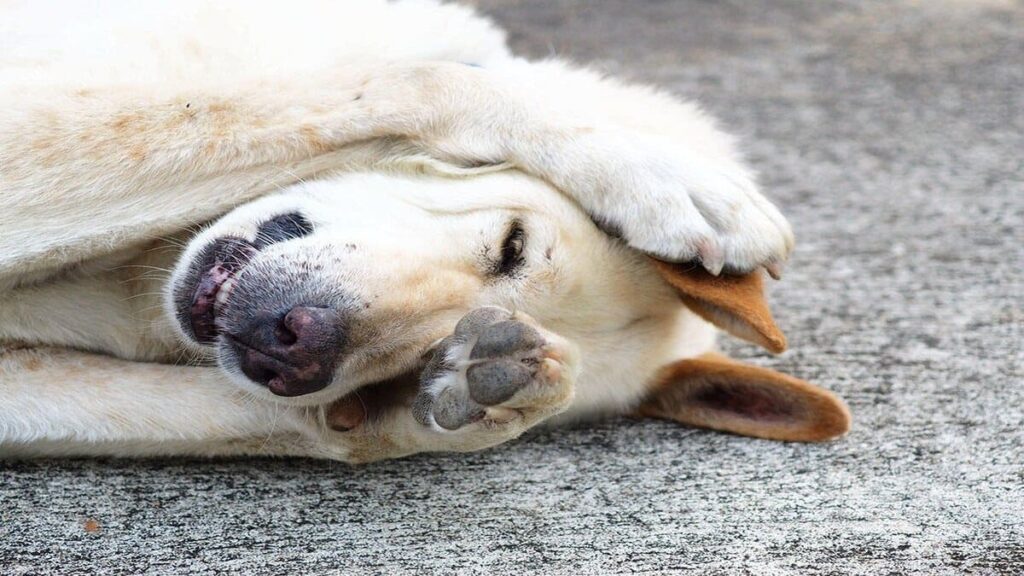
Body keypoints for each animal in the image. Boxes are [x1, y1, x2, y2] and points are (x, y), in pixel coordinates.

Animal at [0, 0, 847, 461]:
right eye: (511, 246)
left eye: (424, 358)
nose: (291, 347)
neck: (134, 281)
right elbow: (423, 79)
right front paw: (659, 172)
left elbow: (301, 426)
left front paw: (457, 403)